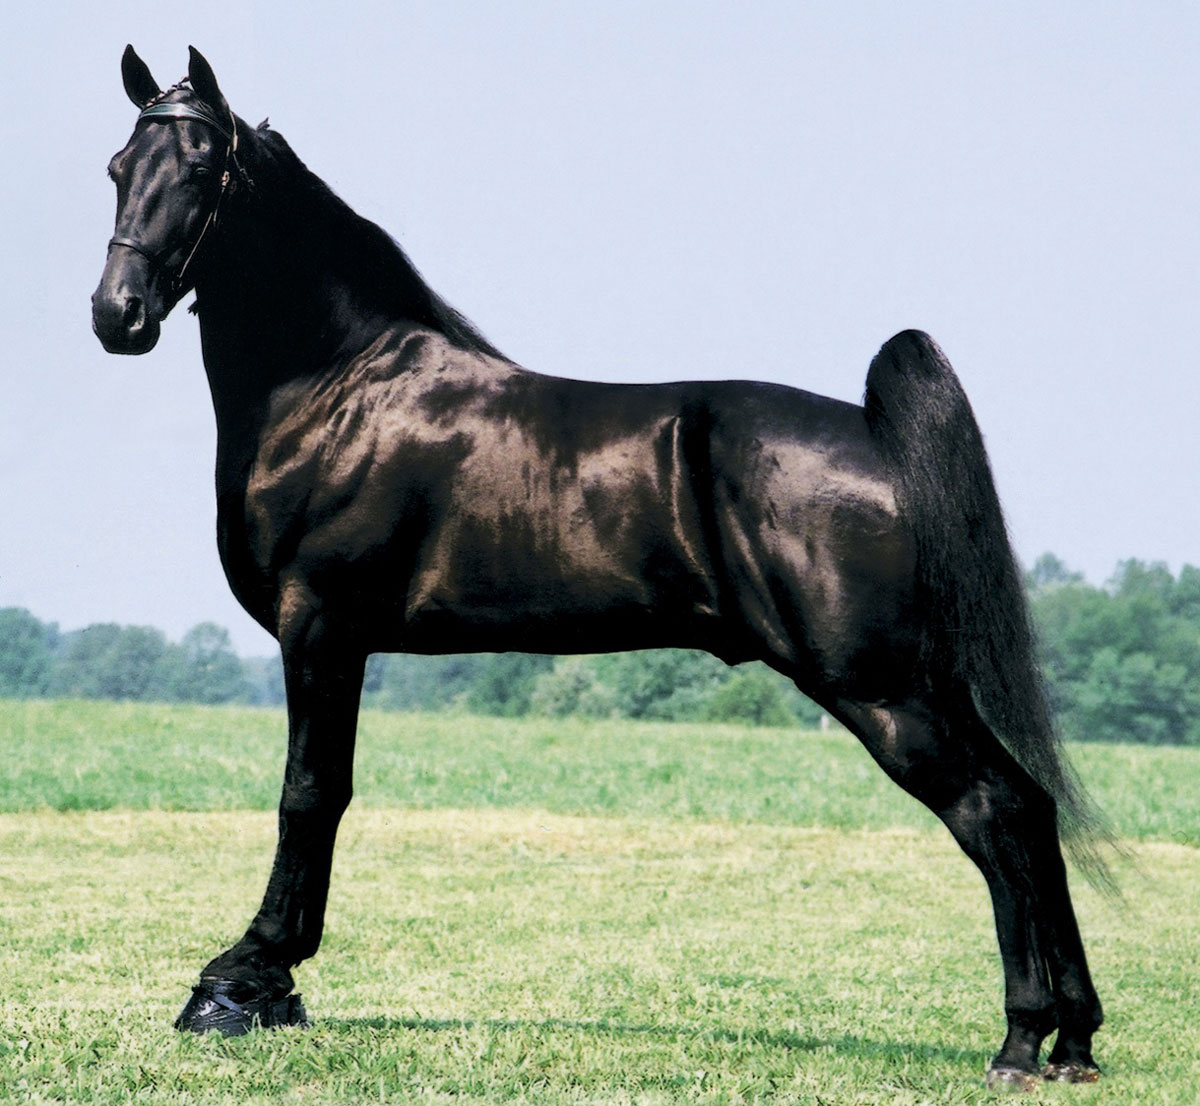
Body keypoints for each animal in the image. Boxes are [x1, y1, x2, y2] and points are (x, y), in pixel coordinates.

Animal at [92, 46, 1105, 1090]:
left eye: (203, 170)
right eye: (119, 169)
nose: (117, 315)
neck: (340, 390)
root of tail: (876, 436)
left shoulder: (321, 627)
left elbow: (310, 795)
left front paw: (247, 978)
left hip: (883, 689)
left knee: (991, 812)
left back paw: (1021, 1040)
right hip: (927, 681)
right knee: (1032, 808)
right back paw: (1073, 1041)